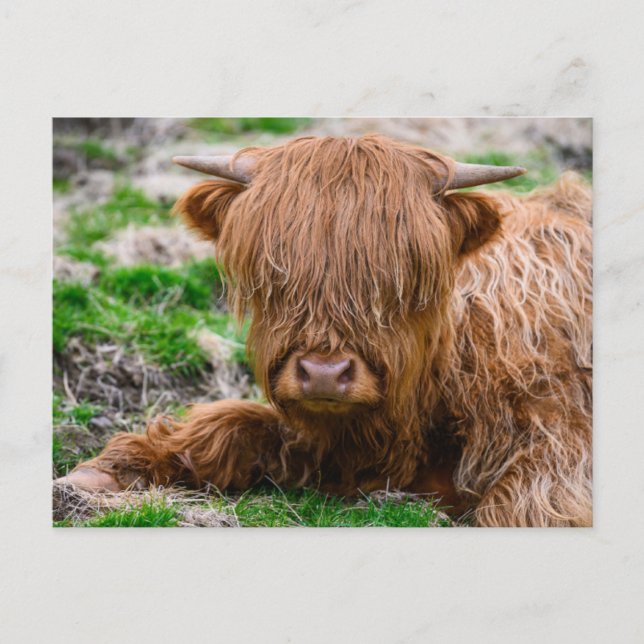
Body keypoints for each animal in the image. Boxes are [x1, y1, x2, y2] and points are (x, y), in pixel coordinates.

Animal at [58, 134, 592, 527]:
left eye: (400, 279)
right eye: (275, 275)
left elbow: (520, 507)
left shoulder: (559, 452)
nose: (323, 374)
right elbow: (226, 424)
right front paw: (100, 477)